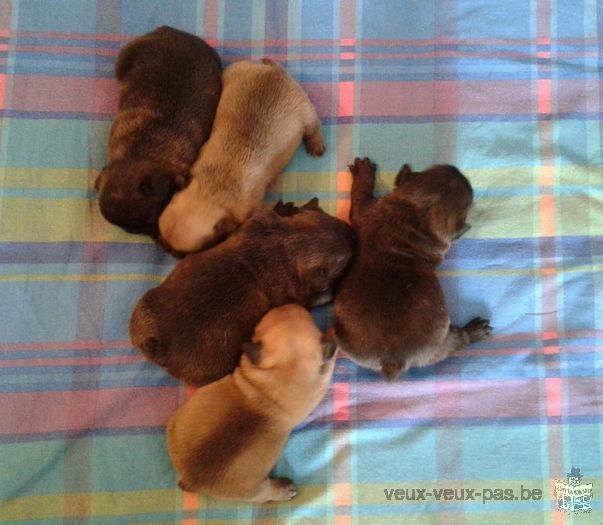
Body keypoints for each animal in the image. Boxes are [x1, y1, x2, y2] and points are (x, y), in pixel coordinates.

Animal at [127, 199, 354, 386]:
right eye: (343, 261)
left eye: (329, 217)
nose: (353, 235)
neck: (286, 245)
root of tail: (158, 348)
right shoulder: (299, 295)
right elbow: (319, 296)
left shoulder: (256, 223)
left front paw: (284, 208)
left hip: (143, 309)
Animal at [157, 56, 326, 252]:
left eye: (182, 254)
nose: (165, 249)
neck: (212, 192)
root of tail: (275, 72)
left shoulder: (250, 210)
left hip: (306, 111)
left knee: (313, 127)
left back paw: (316, 144)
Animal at [168, 304, 338, 502]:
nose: (288, 304)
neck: (287, 368)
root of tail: (190, 480)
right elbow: (329, 363)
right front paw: (332, 335)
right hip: (255, 491)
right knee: (265, 493)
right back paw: (284, 490)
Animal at [332, 157, 494, 380]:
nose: (458, 171)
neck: (417, 214)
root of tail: (392, 362)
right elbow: (361, 190)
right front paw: (364, 171)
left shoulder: (366, 209)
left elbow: (360, 193)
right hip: (441, 343)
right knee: (457, 341)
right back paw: (474, 330)